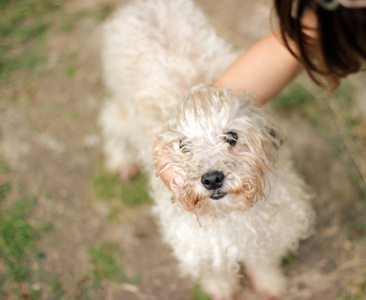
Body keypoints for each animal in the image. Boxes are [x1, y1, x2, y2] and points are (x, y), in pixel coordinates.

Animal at [100, 1, 314, 298]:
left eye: (231, 136)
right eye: (183, 145)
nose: (212, 179)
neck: (228, 217)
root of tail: (141, 5)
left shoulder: (270, 231)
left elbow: (263, 260)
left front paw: (270, 284)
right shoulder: (195, 244)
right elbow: (214, 270)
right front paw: (221, 288)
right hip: (121, 109)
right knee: (111, 121)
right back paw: (121, 162)